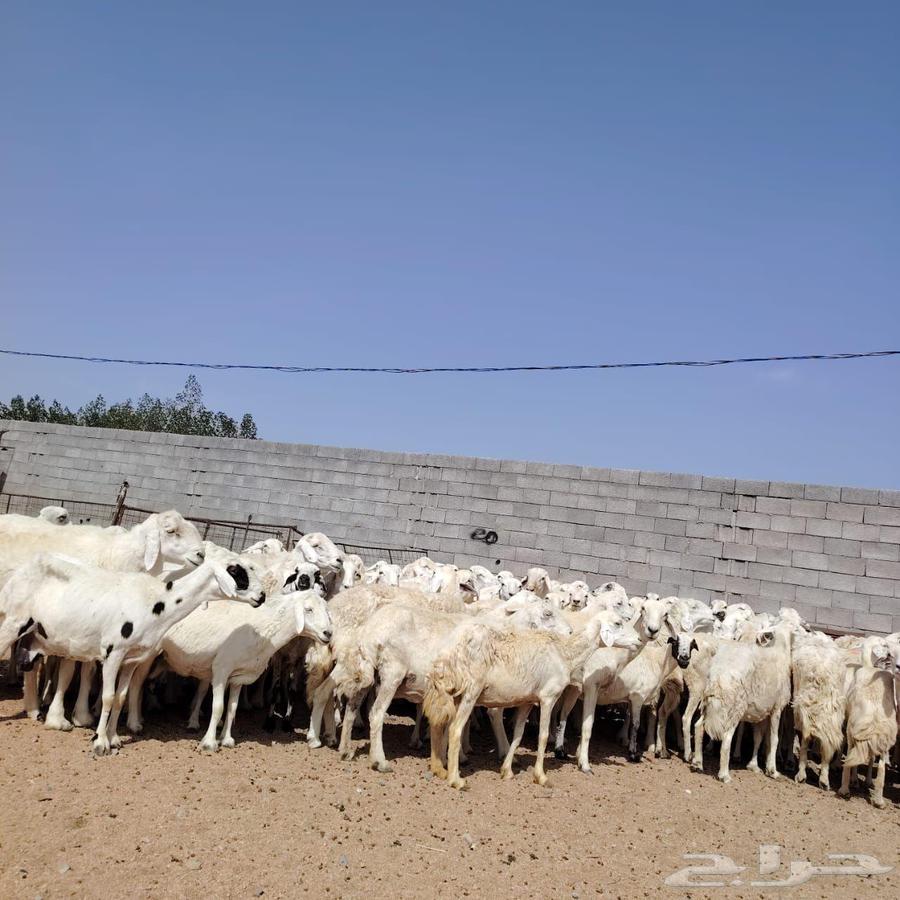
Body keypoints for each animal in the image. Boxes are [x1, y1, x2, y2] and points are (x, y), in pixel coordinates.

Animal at [0, 552, 265, 754]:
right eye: (235, 570)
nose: (261, 597)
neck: (156, 602)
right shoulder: (113, 653)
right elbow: (108, 697)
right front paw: (100, 743)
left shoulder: (130, 660)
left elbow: (121, 697)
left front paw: (114, 738)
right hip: (12, 622)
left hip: (33, 635)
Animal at [423, 606, 639, 789]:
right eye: (618, 623)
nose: (638, 640)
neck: (566, 653)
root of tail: (448, 656)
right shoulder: (548, 697)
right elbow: (542, 736)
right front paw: (541, 776)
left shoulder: (527, 701)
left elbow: (518, 735)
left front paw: (507, 771)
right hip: (470, 691)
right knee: (455, 730)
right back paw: (455, 779)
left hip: (453, 693)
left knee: (442, 726)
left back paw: (441, 768)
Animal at [838, 636, 900, 808]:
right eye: (885, 645)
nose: (889, 656)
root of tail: (874, 720)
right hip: (885, 737)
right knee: (881, 766)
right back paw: (878, 799)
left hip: (855, 731)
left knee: (852, 754)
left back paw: (845, 788)